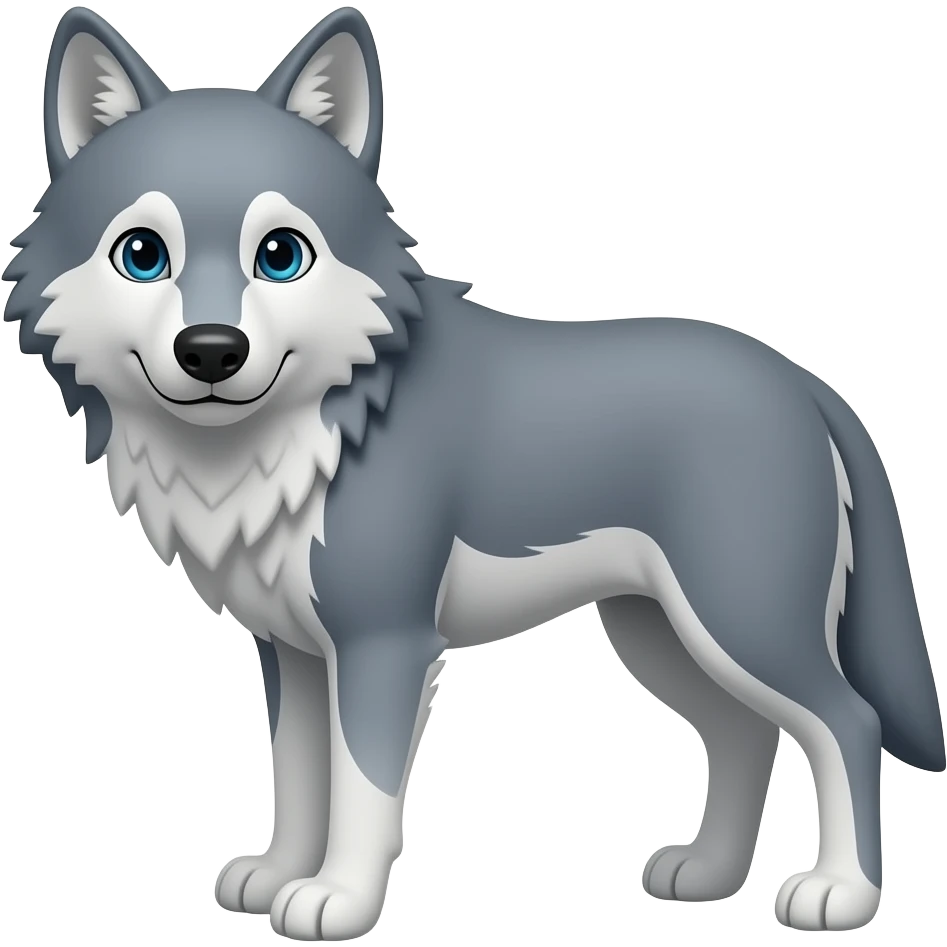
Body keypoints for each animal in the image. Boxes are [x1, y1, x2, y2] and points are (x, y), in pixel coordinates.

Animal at [3, 5, 943, 940]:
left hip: (738, 622)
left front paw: (337, 899)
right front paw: (274, 877)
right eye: (141, 255)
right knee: (745, 735)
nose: (209, 351)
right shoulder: (292, 650)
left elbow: (363, 789)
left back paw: (839, 892)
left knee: (846, 722)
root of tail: (803, 380)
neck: (308, 430)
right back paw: (706, 874)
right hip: (662, 635)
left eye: (280, 256)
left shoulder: (383, 641)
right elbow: (299, 775)